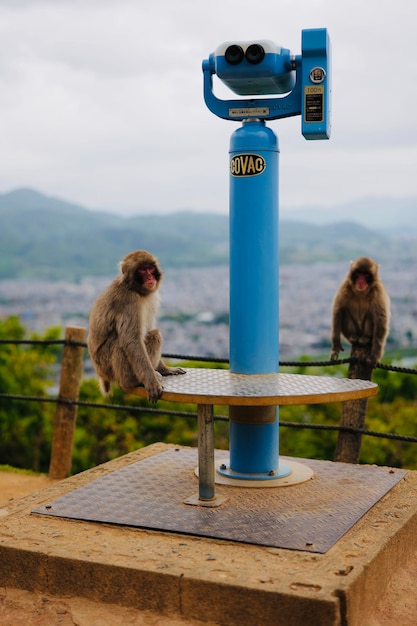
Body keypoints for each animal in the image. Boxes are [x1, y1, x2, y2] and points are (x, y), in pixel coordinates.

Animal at [87, 249, 184, 400]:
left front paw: (166, 369)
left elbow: (147, 328)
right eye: (142, 270)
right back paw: (133, 381)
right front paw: (151, 382)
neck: (136, 290)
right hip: (107, 366)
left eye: (150, 268)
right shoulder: (128, 302)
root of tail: (101, 374)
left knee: (152, 334)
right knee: (124, 343)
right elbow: (132, 340)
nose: (150, 277)